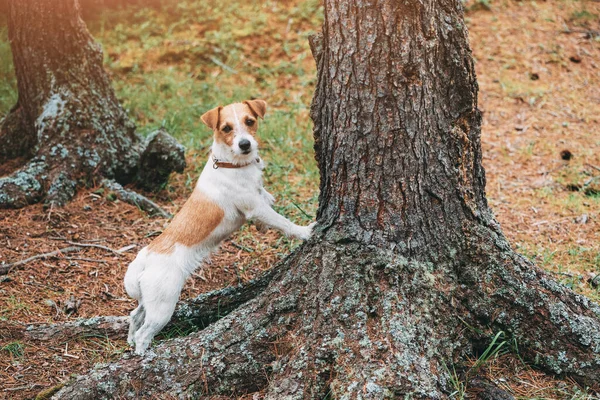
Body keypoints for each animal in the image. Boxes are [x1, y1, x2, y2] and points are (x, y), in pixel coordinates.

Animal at [125, 99, 316, 354]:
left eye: (250, 121)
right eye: (226, 128)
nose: (245, 144)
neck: (231, 164)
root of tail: (146, 256)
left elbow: (265, 197)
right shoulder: (254, 207)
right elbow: (282, 222)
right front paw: (305, 231)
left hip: (149, 301)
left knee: (135, 315)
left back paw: (129, 339)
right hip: (162, 306)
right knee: (144, 333)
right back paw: (143, 353)